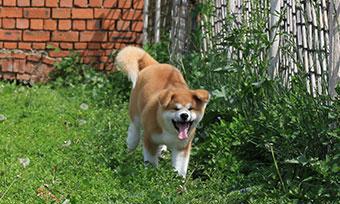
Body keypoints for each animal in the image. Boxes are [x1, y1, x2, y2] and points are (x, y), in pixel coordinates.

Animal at [115, 46, 210, 177]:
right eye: (176, 108)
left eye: (190, 108)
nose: (184, 115)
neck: (170, 131)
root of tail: (155, 65)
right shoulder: (149, 140)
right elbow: (150, 162)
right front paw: (152, 176)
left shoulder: (182, 148)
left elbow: (180, 169)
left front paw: (178, 182)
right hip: (136, 116)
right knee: (134, 133)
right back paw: (130, 150)